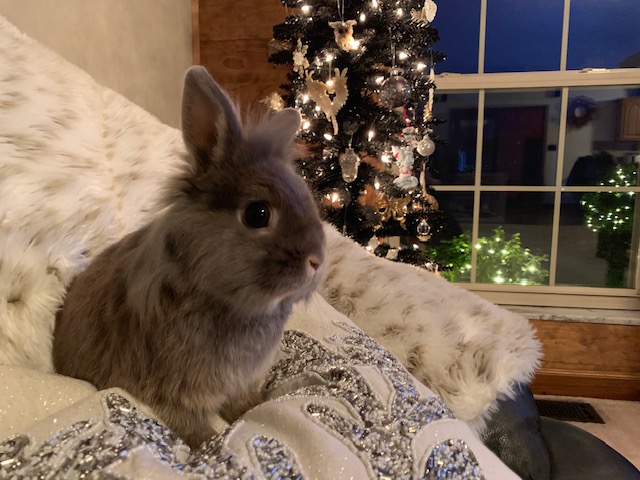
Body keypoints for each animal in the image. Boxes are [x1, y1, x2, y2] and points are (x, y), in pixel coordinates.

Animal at [52, 66, 326, 448]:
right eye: (257, 214)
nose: (317, 261)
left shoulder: (242, 382)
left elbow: (248, 406)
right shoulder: (177, 393)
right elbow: (195, 428)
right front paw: (209, 444)